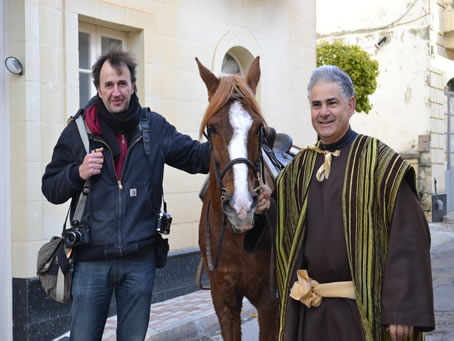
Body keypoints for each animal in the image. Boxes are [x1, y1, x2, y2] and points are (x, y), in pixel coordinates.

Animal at [196, 57, 280, 338]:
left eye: (258, 128)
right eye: (212, 128)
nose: (241, 206)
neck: (237, 238)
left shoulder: (270, 302)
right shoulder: (223, 297)